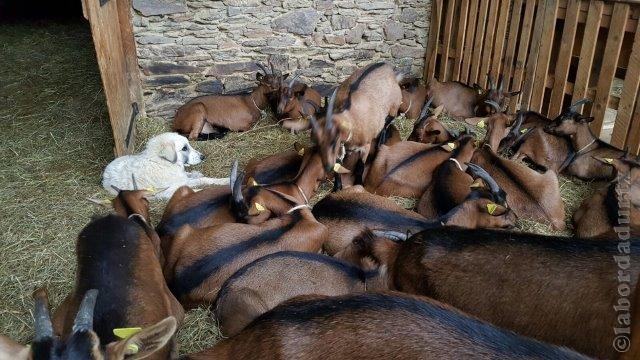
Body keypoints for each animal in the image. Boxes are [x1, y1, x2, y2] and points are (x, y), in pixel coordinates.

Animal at [101, 132, 229, 200]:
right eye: (184, 148)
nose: (203, 157)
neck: (161, 163)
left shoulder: (181, 179)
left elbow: (204, 178)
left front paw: (224, 180)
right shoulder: (171, 189)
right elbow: (200, 185)